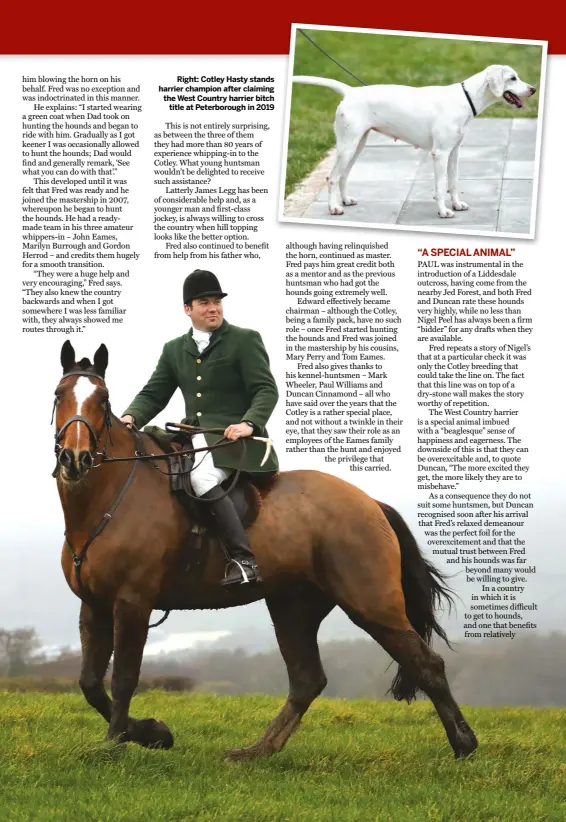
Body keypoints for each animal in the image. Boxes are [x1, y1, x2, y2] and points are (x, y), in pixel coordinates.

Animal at [54, 342, 480, 760]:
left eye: (103, 400)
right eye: (59, 394)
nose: (74, 459)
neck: (110, 496)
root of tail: (372, 503)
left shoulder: (133, 602)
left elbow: (123, 678)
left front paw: (116, 744)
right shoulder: (94, 604)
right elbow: (89, 682)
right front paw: (150, 732)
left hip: (372, 604)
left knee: (427, 664)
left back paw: (464, 743)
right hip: (292, 606)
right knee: (307, 679)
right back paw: (258, 750)